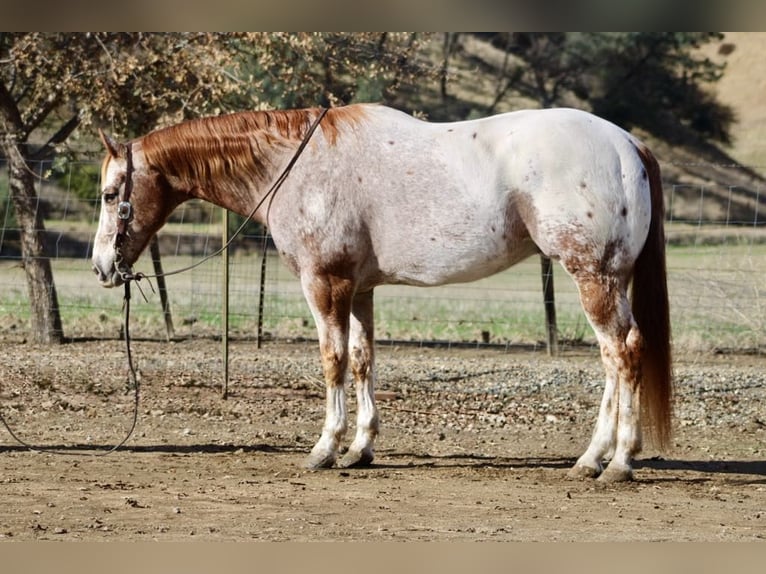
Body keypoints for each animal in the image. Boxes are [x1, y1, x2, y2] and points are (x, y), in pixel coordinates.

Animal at [92, 103, 672, 482]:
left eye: (110, 194)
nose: (102, 267)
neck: (296, 164)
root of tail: (628, 144)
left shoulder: (324, 283)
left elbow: (332, 361)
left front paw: (325, 447)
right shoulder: (360, 290)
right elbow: (363, 359)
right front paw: (360, 448)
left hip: (592, 277)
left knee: (622, 354)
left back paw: (619, 462)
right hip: (608, 279)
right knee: (613, 359)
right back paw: (591, 459)